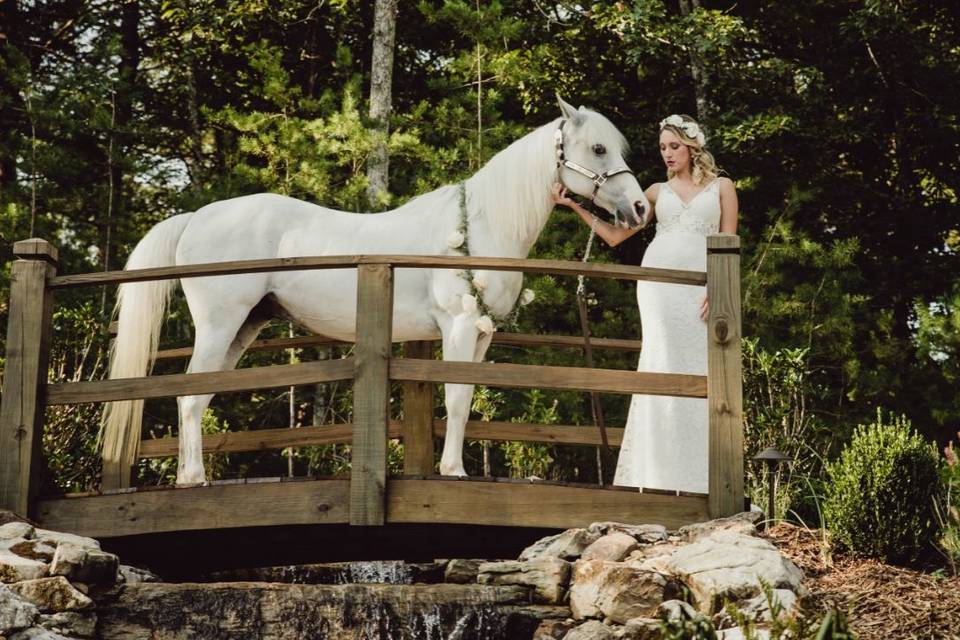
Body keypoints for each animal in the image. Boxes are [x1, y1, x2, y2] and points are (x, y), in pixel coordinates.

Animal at [103, 96, 644, 484]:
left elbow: (465, 399)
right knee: (189, 399)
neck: (481, 225)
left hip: (244, 328)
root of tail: (197, 216)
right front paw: (453, 472)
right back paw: (193, 479)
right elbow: (454, 399)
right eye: (598, 149)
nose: (639, 209)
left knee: (197, 398)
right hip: (220, 325)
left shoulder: (482, 334)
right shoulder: (460, 327)